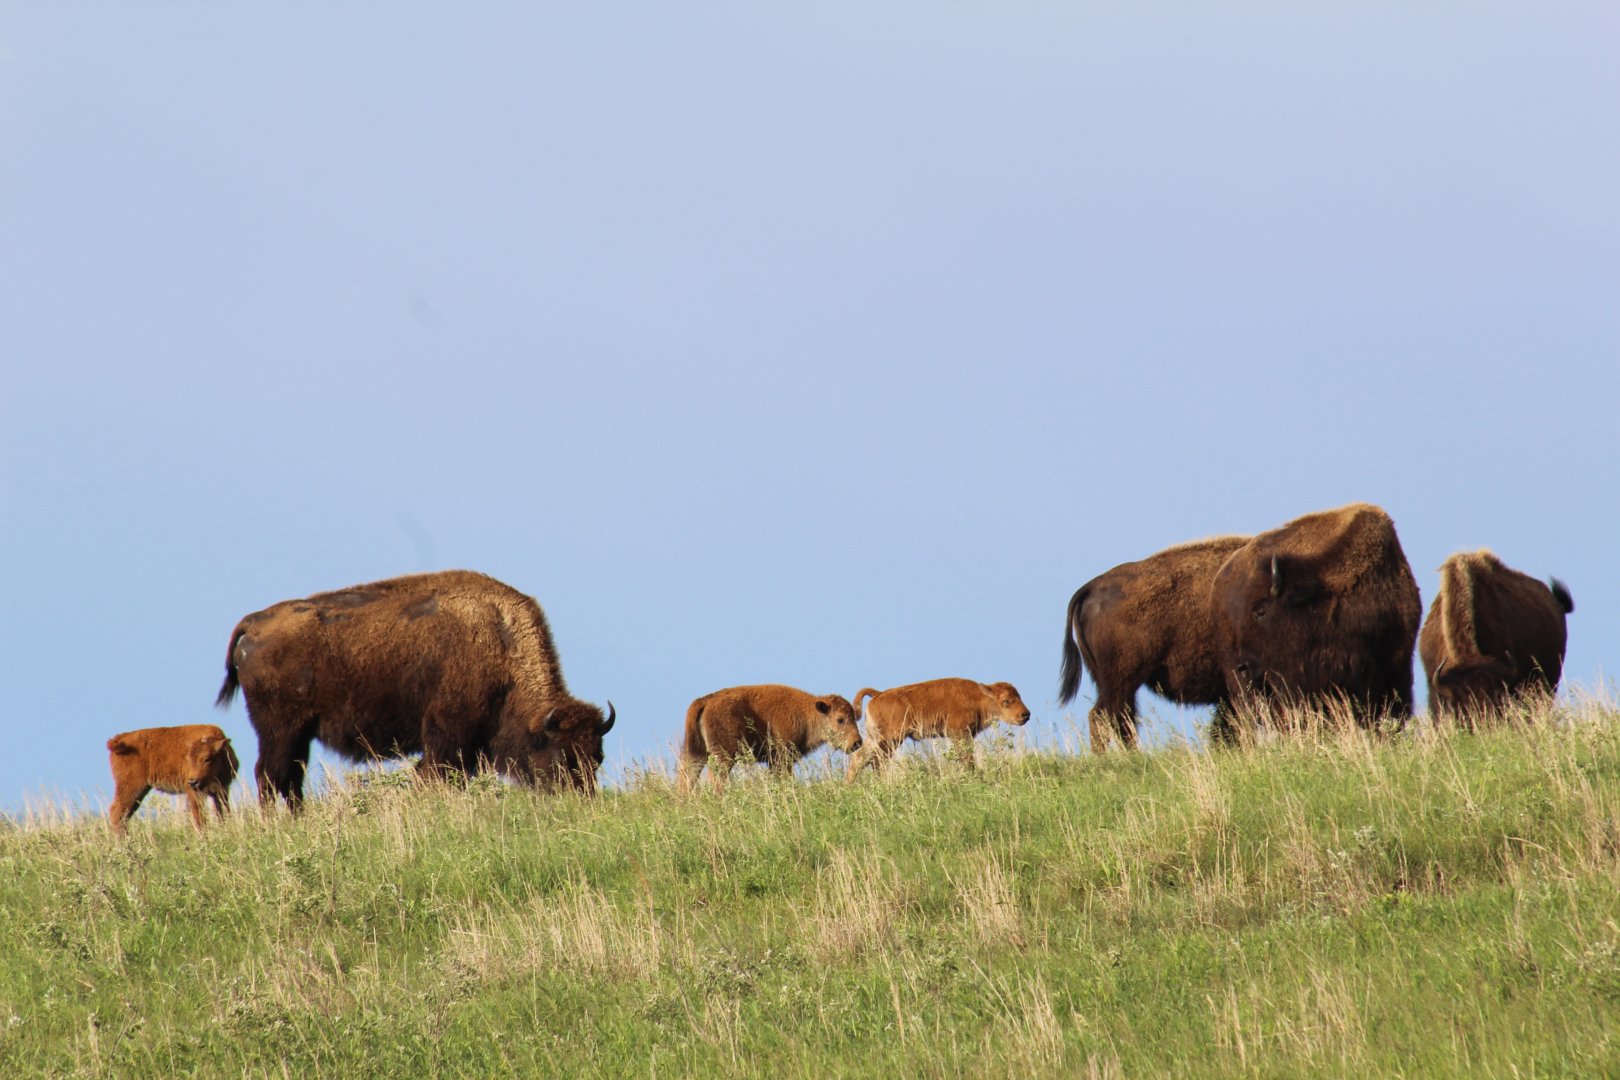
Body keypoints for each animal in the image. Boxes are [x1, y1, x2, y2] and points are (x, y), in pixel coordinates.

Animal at [215, 570, 614, 809]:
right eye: (563, 756)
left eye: (597, 757)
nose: (585, 800)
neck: (498, 642)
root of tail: (253, 623)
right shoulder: (445, 735)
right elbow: (434, 773)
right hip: (279, 730)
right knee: (270, 775)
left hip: (299, 733)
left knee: (289, 779)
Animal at [677, 684, 861, 794]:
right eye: (840, 719)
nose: (857, 742)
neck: (808, 714)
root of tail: (705, 701)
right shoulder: (782, 758)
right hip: (723, 757)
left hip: (696, 753)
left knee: (687, 778)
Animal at [846, 678, 1030, 778]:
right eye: (1006, 701)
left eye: (1019, 696)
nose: (1025, 714)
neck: (977, 698)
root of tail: (878, 694)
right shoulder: (960, 734)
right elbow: (966, 758)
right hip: (891, 739)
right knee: (875, 760)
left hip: (876, 738)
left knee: (861, 759)